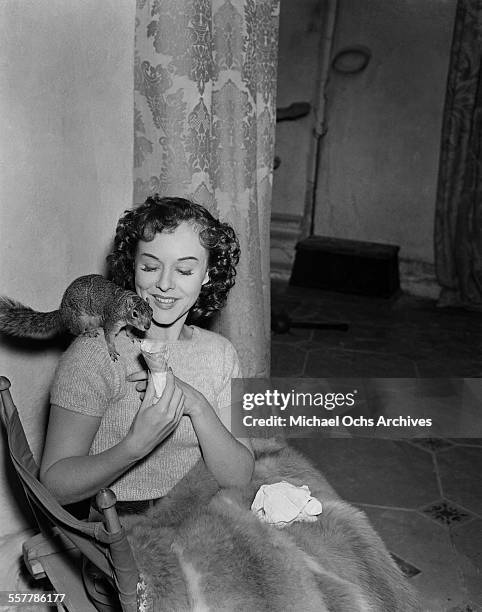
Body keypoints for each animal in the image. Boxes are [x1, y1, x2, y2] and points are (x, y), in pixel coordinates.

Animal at [0, 274, 153, 360]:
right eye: (135, 313)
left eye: (151, 312)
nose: (147, 326)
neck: (122, 305)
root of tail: (63, 312)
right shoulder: (112, 320)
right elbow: (109, 336)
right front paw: (112, 350)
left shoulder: (127, 323)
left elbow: (128, 330)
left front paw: (133, 336)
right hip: (79, 319)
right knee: (75, 331)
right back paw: (87, 332)